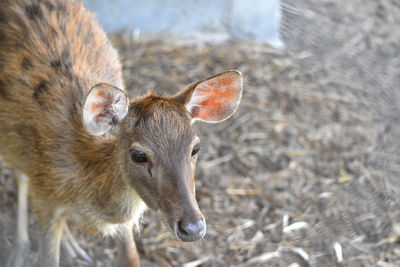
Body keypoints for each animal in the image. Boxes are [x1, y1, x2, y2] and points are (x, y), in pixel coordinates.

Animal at [0, 0, 244, 267]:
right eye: (139, 155)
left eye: (195, 147)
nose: (193, 227)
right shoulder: (45, 197)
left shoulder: (123, 224)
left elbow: (131, 258)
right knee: (19, 177)